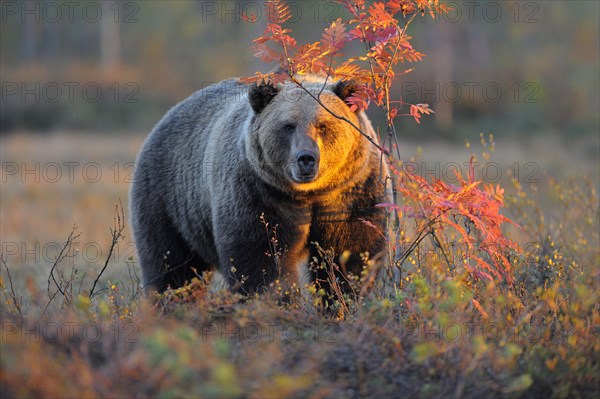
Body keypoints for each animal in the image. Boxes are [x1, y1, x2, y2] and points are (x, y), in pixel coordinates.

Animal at [129, 76, 392, 294]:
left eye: (323, 125)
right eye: (288, 126)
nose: (306, 158)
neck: (311, 195)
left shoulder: (351, 193)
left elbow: (350, 252)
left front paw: (341, 298)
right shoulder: (259, 192)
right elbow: (261, 256)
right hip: (169, 199)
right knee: (171, 264)